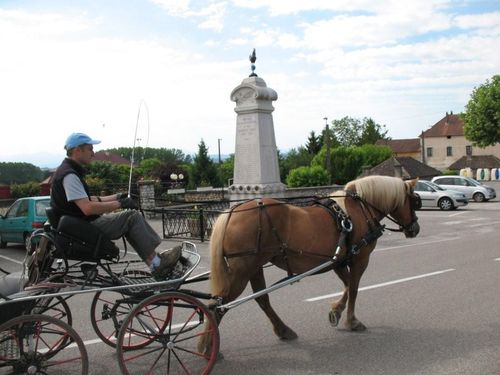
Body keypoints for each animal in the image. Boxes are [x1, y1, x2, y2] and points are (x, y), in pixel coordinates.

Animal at [199, 176, 422, 356]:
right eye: (414, 201)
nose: (415, 228)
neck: (360, 210)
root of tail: (233, 210)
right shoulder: (360, 259)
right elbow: (354, 288)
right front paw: (351, 320)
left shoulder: (339, 260)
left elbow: (347, 286)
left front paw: (336, 311)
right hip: (242, 270)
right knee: (218, 304)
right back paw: (209, 348)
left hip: (254, 267)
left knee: (261, 300)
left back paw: (283, 330)